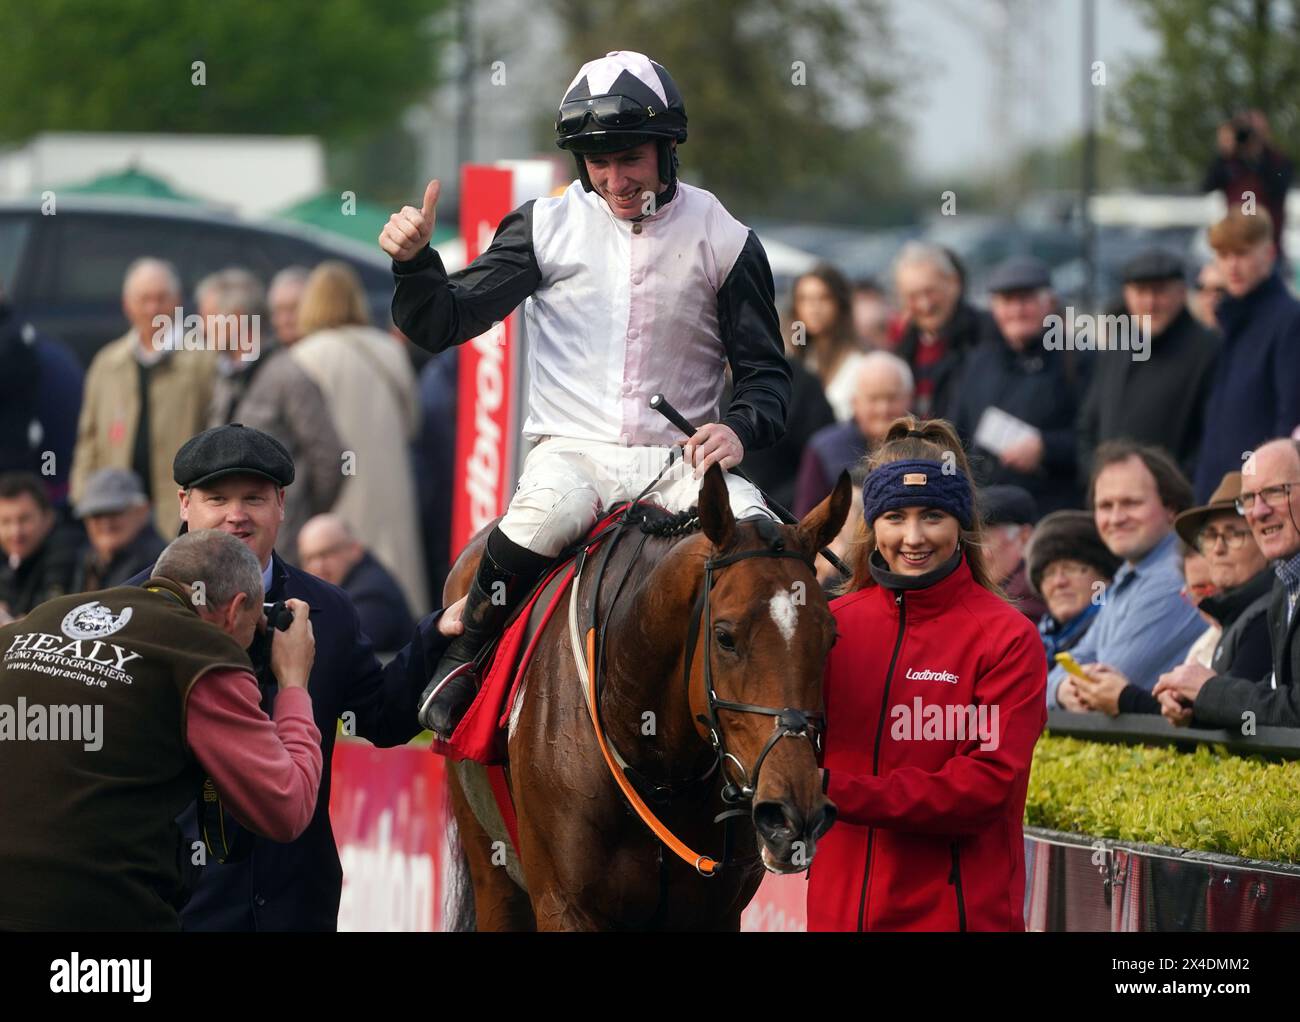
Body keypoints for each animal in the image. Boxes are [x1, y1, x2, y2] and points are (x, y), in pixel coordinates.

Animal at [441, 465, 857, 925]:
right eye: (725, 637)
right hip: (492, 871)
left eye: (831, 636)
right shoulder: (563, 905)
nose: (793, 812)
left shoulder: (717, 912)